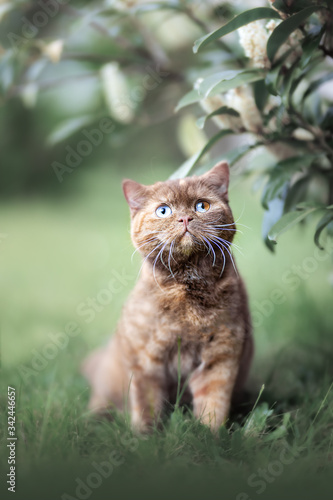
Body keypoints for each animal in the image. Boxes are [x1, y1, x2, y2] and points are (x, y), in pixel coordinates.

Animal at [81, 162, 253, 432]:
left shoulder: (219, 360)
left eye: (202, 205)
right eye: (163, 211)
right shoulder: (145, 364)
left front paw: (210, 438)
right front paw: (145, 438)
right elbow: (146, 407)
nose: (185, 218)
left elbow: (213, 406)